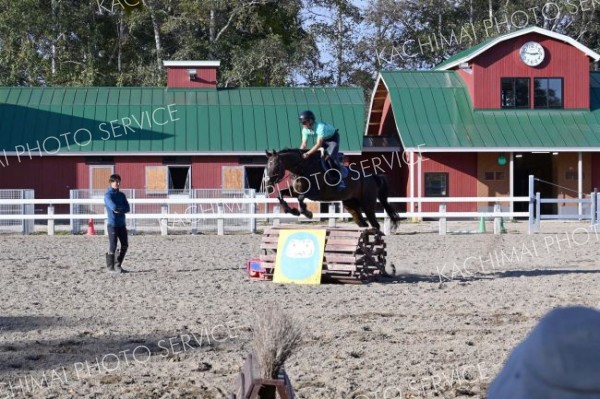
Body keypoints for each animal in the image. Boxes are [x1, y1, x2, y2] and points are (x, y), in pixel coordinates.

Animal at [264, 149, 400, 231]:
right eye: (267, 165)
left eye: (276, 165)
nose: (268, 182)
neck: (303, 169)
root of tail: (372, 176)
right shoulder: (295, 191)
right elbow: (281, 194)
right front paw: (291, 210)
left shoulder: (314, 194)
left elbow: (301, 198)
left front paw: (307, 213)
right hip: (351, 204)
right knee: (363, 223)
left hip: (367, 204)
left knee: (375, 224)